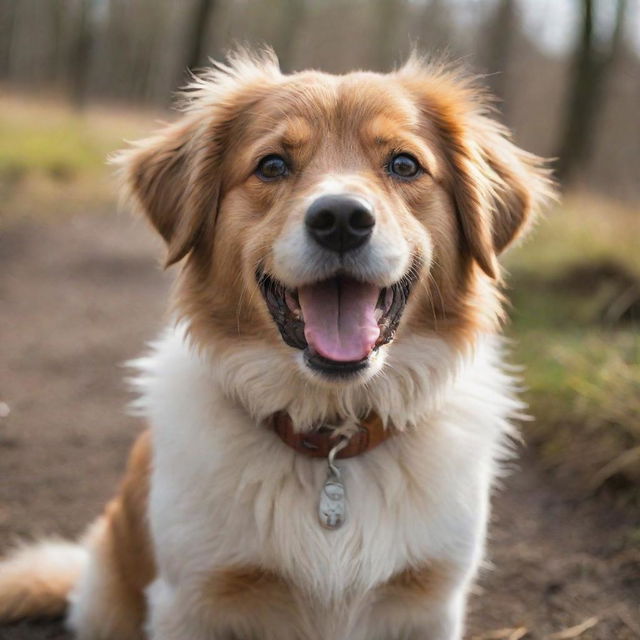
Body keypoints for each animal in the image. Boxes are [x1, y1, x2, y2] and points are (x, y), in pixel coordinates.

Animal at [0, 51, 556, 640]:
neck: (330, 441)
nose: (341, 220)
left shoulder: (428, 601)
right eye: (272, 166)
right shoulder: (192, 600)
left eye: (405, 165)